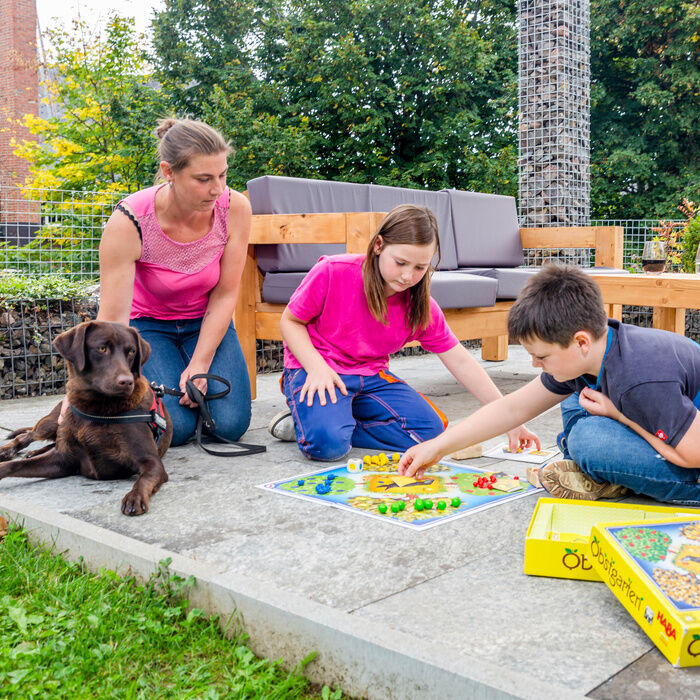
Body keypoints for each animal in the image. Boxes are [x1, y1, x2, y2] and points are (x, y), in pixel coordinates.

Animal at [0, 322, 172, 516]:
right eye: (102, 348)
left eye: (132, 351)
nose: (127, 382)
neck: (98, 408)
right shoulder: (62, 460)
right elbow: (16, 465)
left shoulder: (151, 462)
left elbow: (143, 479)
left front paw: (135, 496)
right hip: (53, 421)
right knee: (28, 435)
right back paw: (8, 450)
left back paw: (35, 451)